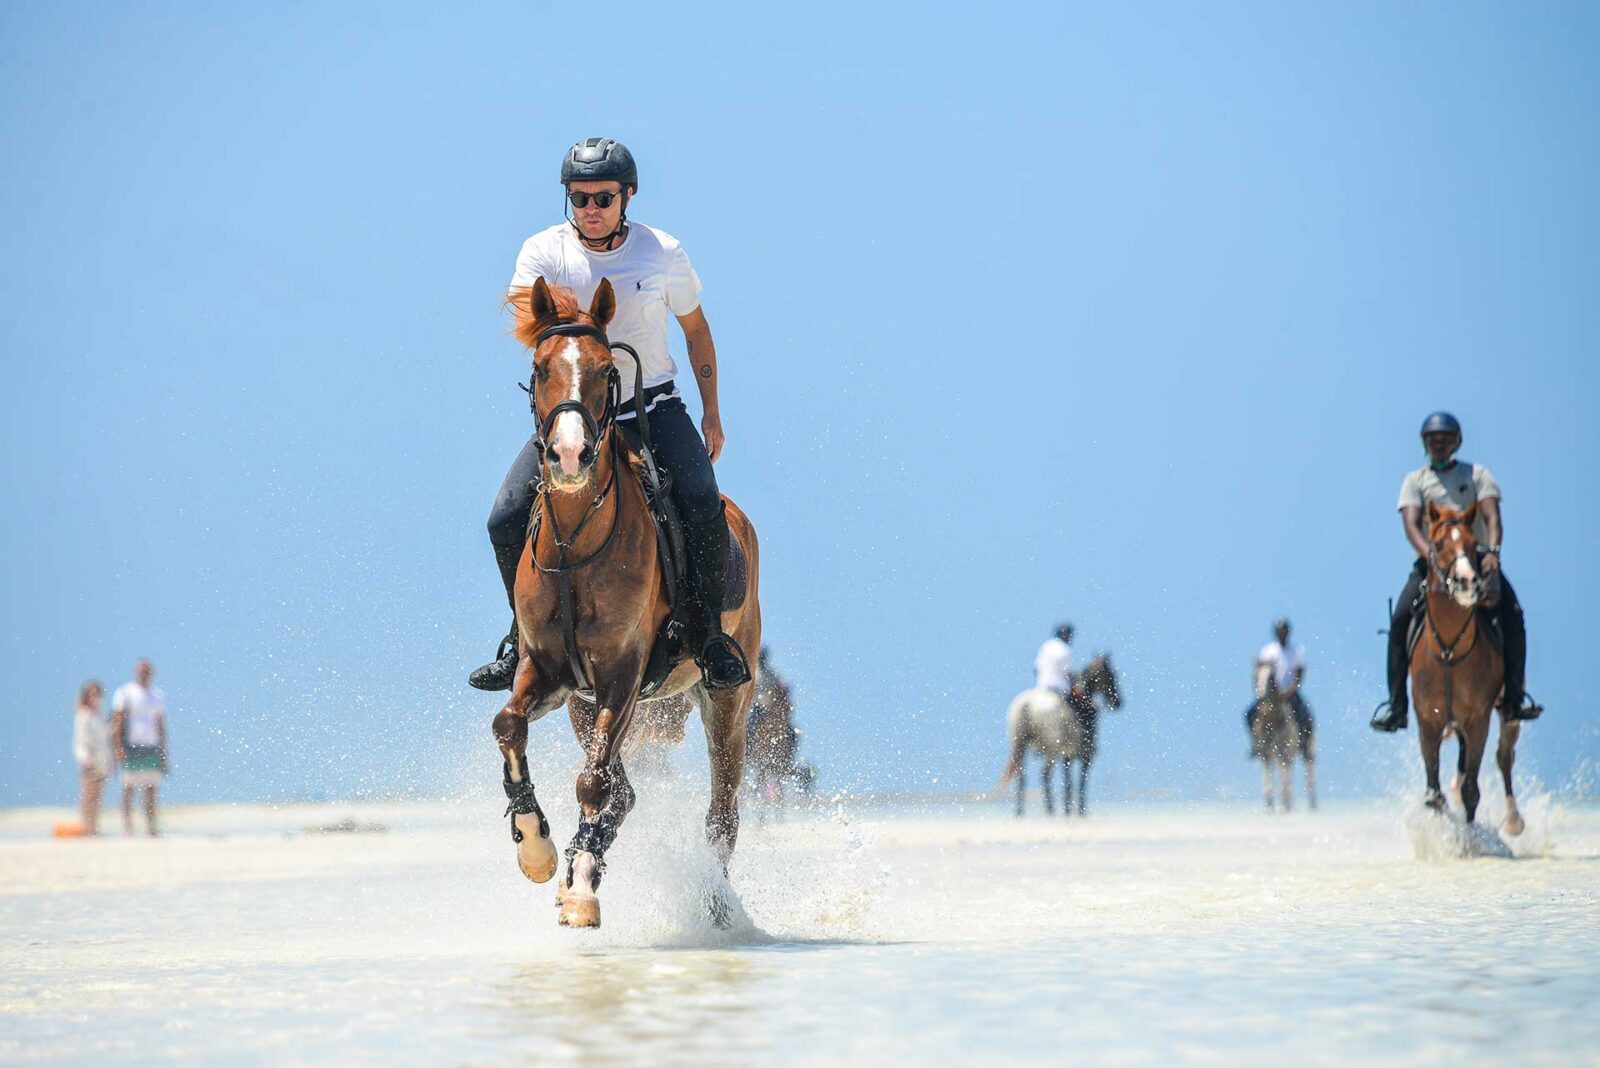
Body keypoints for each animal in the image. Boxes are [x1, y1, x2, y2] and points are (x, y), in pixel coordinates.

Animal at [486, 274, 761, 927]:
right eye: (539, 368)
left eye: (608, 369)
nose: (569, 455)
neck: (574, 541)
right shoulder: (549, 672)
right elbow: (508, 724)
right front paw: (537, 851)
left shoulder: (623, 675)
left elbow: (593, 783)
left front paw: (582, 890)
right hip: (582, 707)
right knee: (627, 790)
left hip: (726, 702)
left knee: (721, 814)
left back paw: (713, 904)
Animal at [1414, 502, 1523, 831]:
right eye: (1438, 544)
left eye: (1474, 545)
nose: (1466, 581)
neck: (1450, 651)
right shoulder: (1428, 721)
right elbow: (1433, 793)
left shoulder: (1478, 720)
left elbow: (1472, 790)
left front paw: (1470, 836)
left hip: (1506, 710)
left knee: (1504, 756)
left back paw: (1514, 820)